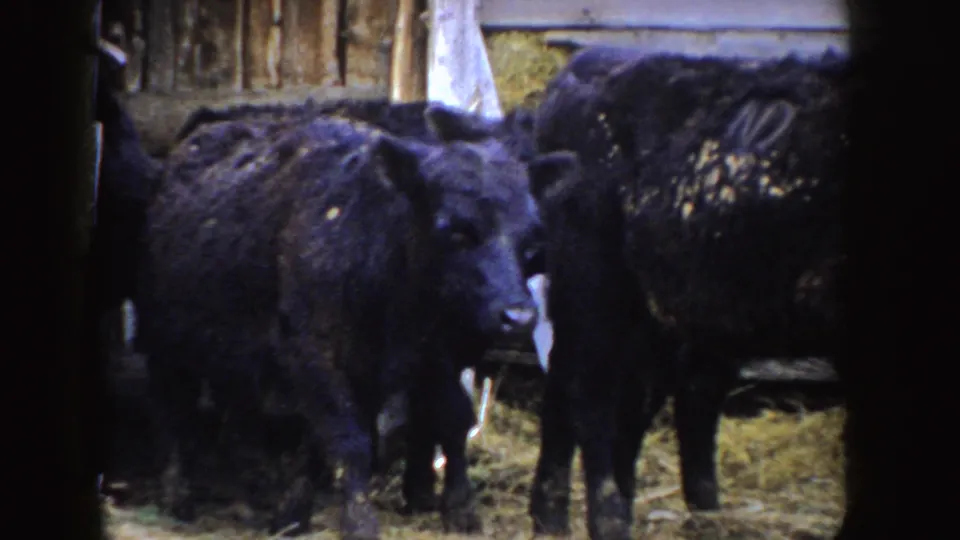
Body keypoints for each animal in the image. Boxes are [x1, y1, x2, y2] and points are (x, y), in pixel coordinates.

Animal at [134, 102, 579, 538]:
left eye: (530, 235)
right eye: (454, 229)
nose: (518, 315)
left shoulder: (427, 356)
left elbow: (447, 418)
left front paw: (459, 510)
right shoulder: (314, 353)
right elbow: (349, 440)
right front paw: (359, 521)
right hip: (164, 335)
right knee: (171, 401)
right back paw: (177, 493)